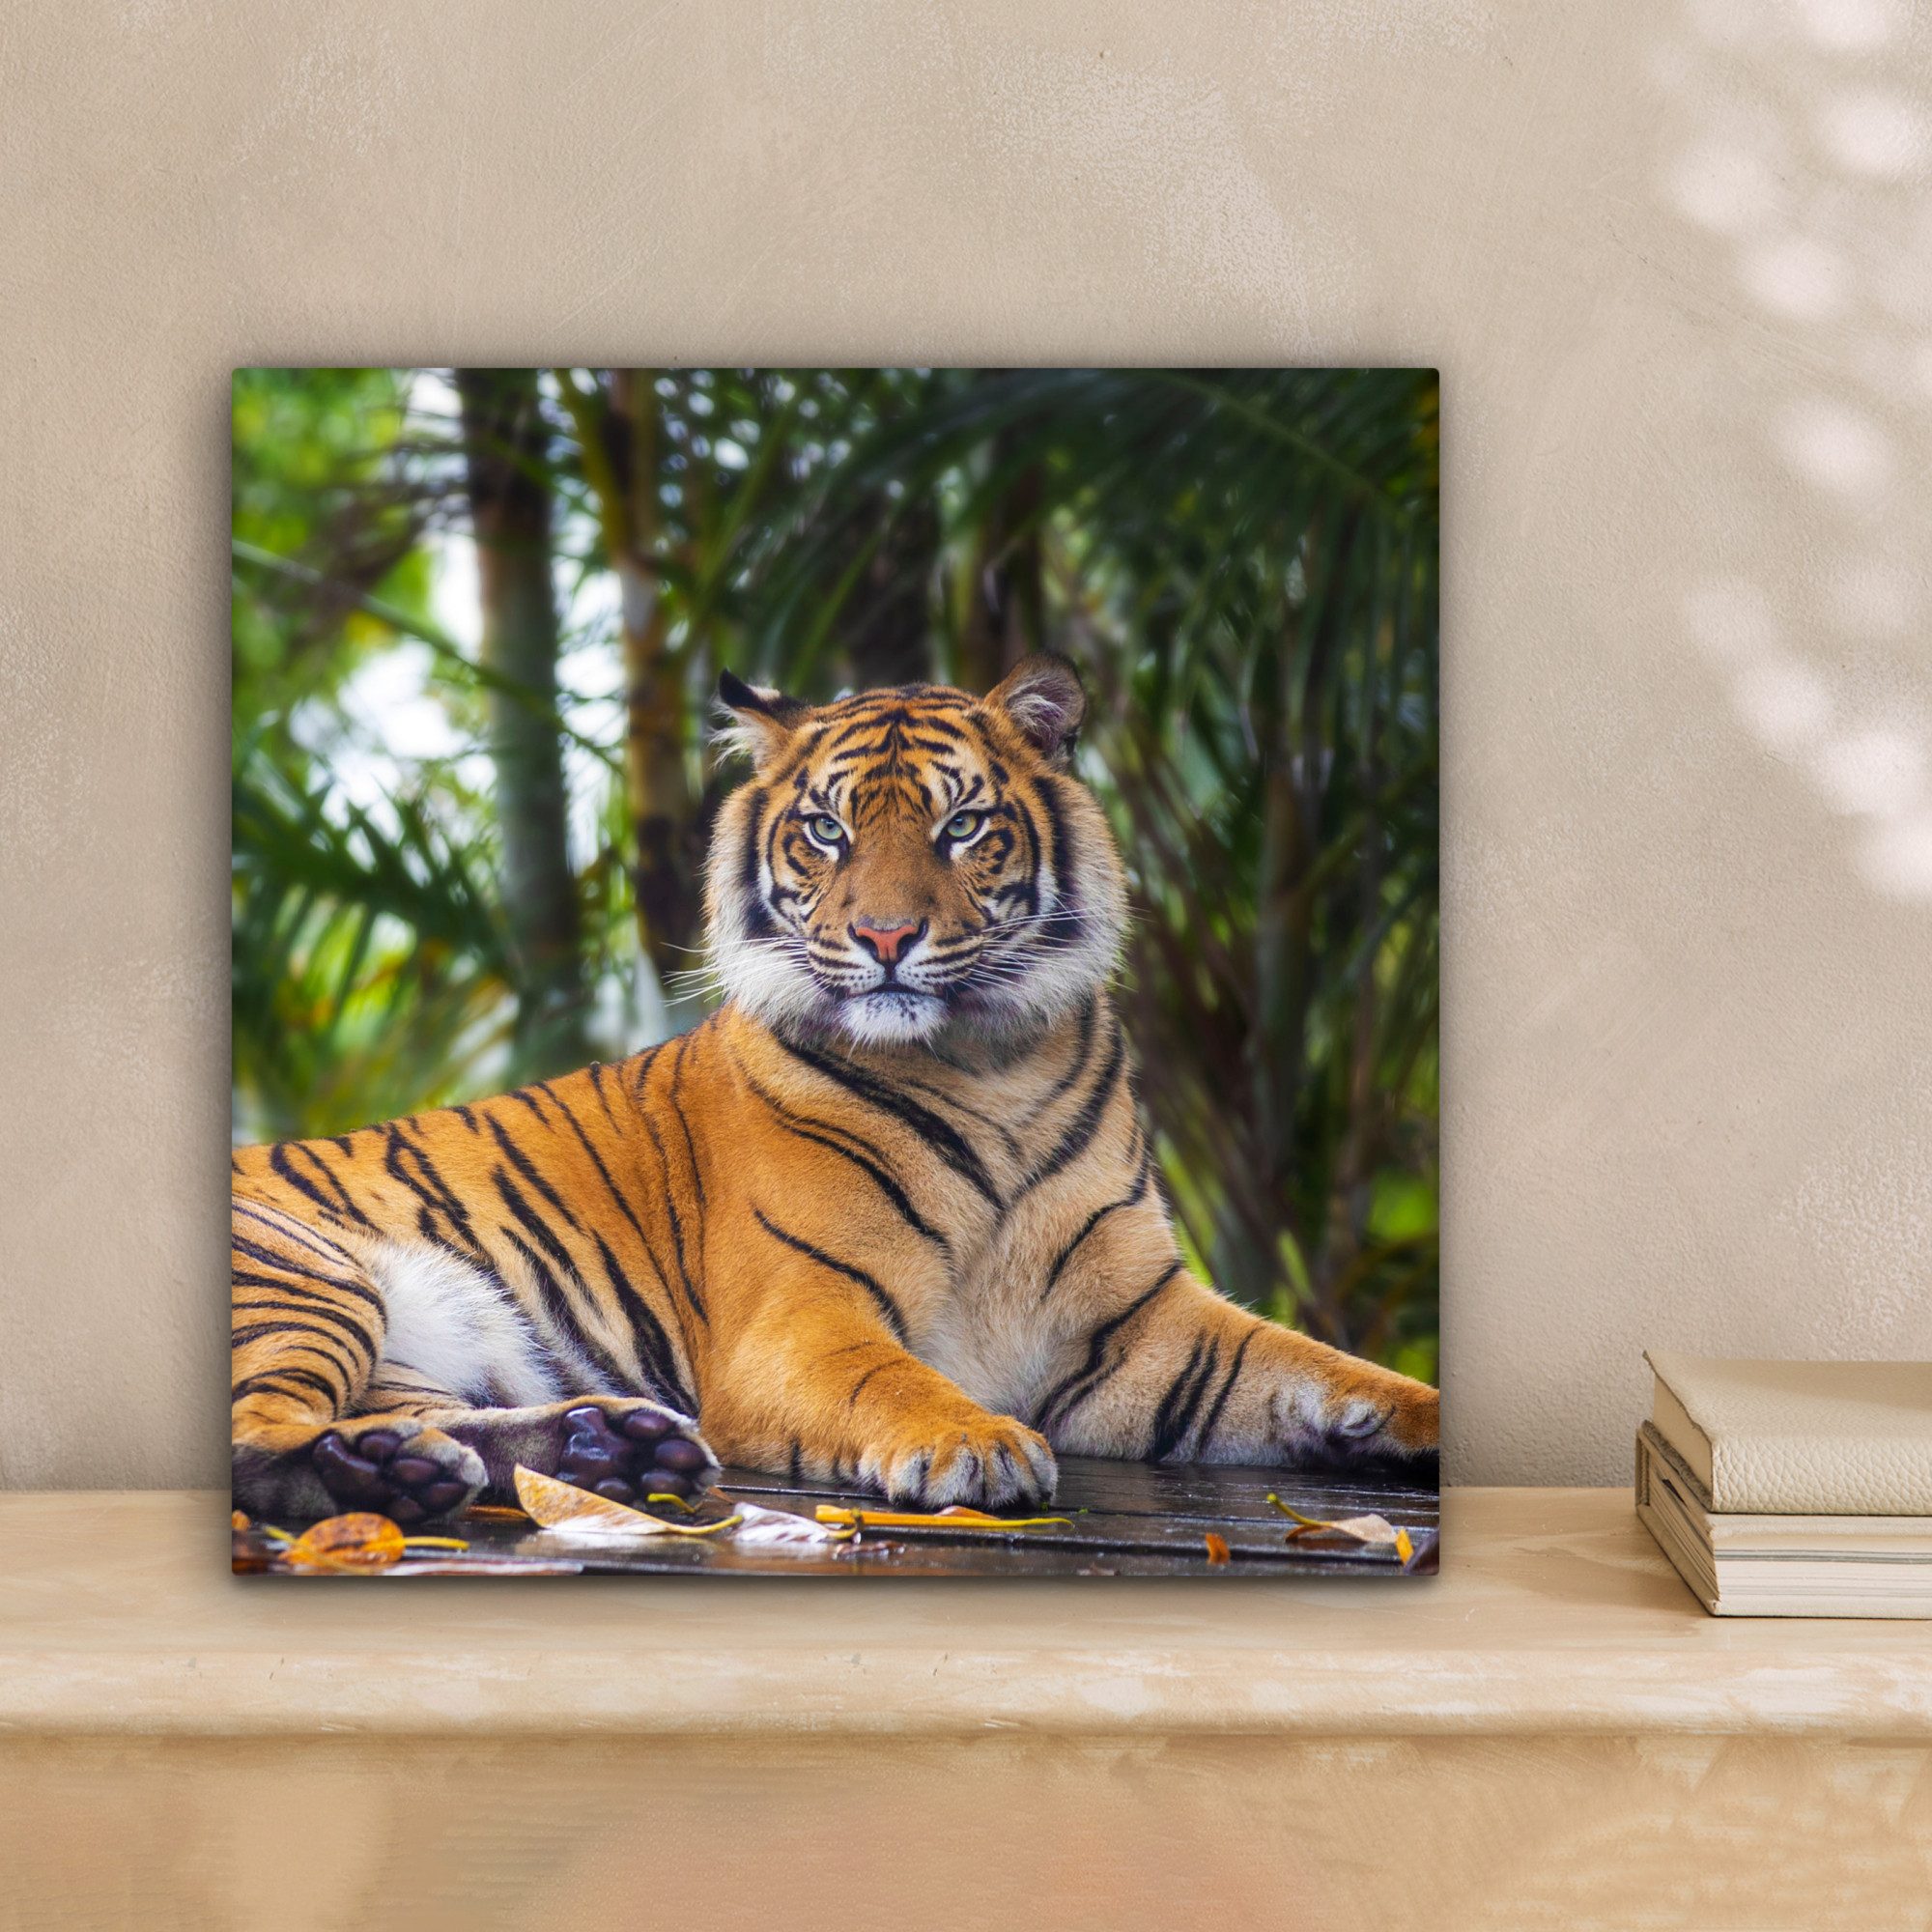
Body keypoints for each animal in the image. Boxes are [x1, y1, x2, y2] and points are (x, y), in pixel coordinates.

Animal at [231, 654, 1438, 1524]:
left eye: (961, 825)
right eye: (827, 829)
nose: (886, 936)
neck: (989, 1064)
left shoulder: (1141, 1324)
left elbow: (1317, 1362)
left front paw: (1418, 1418)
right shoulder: (801, 1313)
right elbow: (891, 1378)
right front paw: (975, 1442)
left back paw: (591, 1447)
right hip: (308, 1275)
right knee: (253, 1440)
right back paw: (381, 1476)